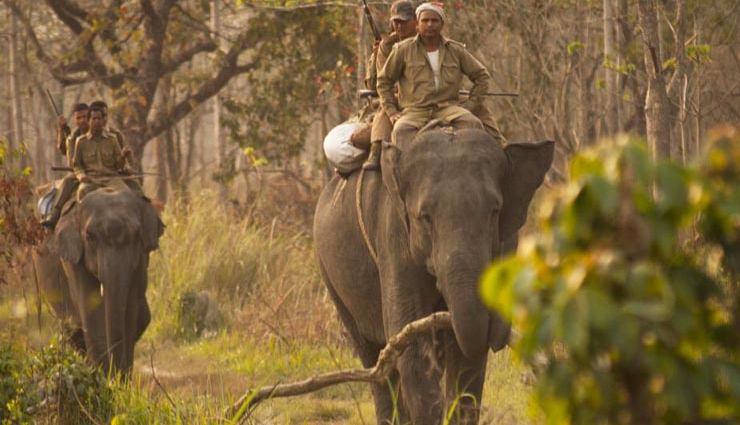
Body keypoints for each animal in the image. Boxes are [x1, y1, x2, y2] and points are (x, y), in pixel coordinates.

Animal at [33, 188, 163, 376]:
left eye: (137, 235)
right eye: (89, 236)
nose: (117, 373)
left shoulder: (141, 257)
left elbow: (130, 311)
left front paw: (120, 380)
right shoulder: (73, 259)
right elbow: (91, 312)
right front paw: (105, 379)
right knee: (73, 330)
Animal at [314, 128, 553, 424]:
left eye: (495, 211)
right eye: (425, 217)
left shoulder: (508, 239)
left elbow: (468, 357)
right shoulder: (394, 235)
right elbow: (411, 344)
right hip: (331, 276)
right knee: (374, 359)